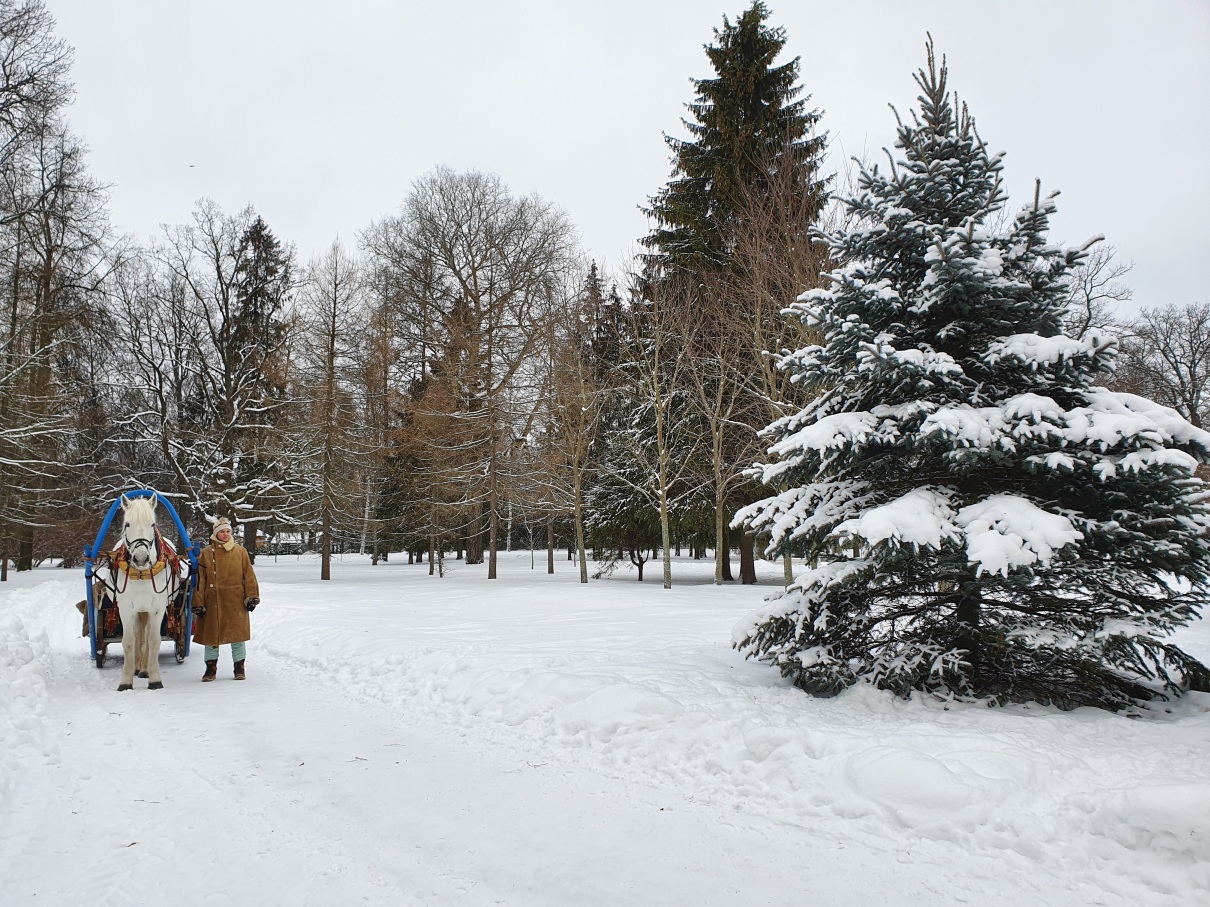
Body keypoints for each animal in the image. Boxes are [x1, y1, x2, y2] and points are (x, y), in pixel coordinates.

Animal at [111, 493, 176, 691]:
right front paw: (125, 681)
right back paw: (137, 666)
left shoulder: (157, 609)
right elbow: (129, 641)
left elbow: (153, 640)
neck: (141, 574)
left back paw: (144, 669)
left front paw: (154, 679)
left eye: (152, 524)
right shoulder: (126, 609)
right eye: (127, 524)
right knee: (138, 634)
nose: (140, 558)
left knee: (145, 635)